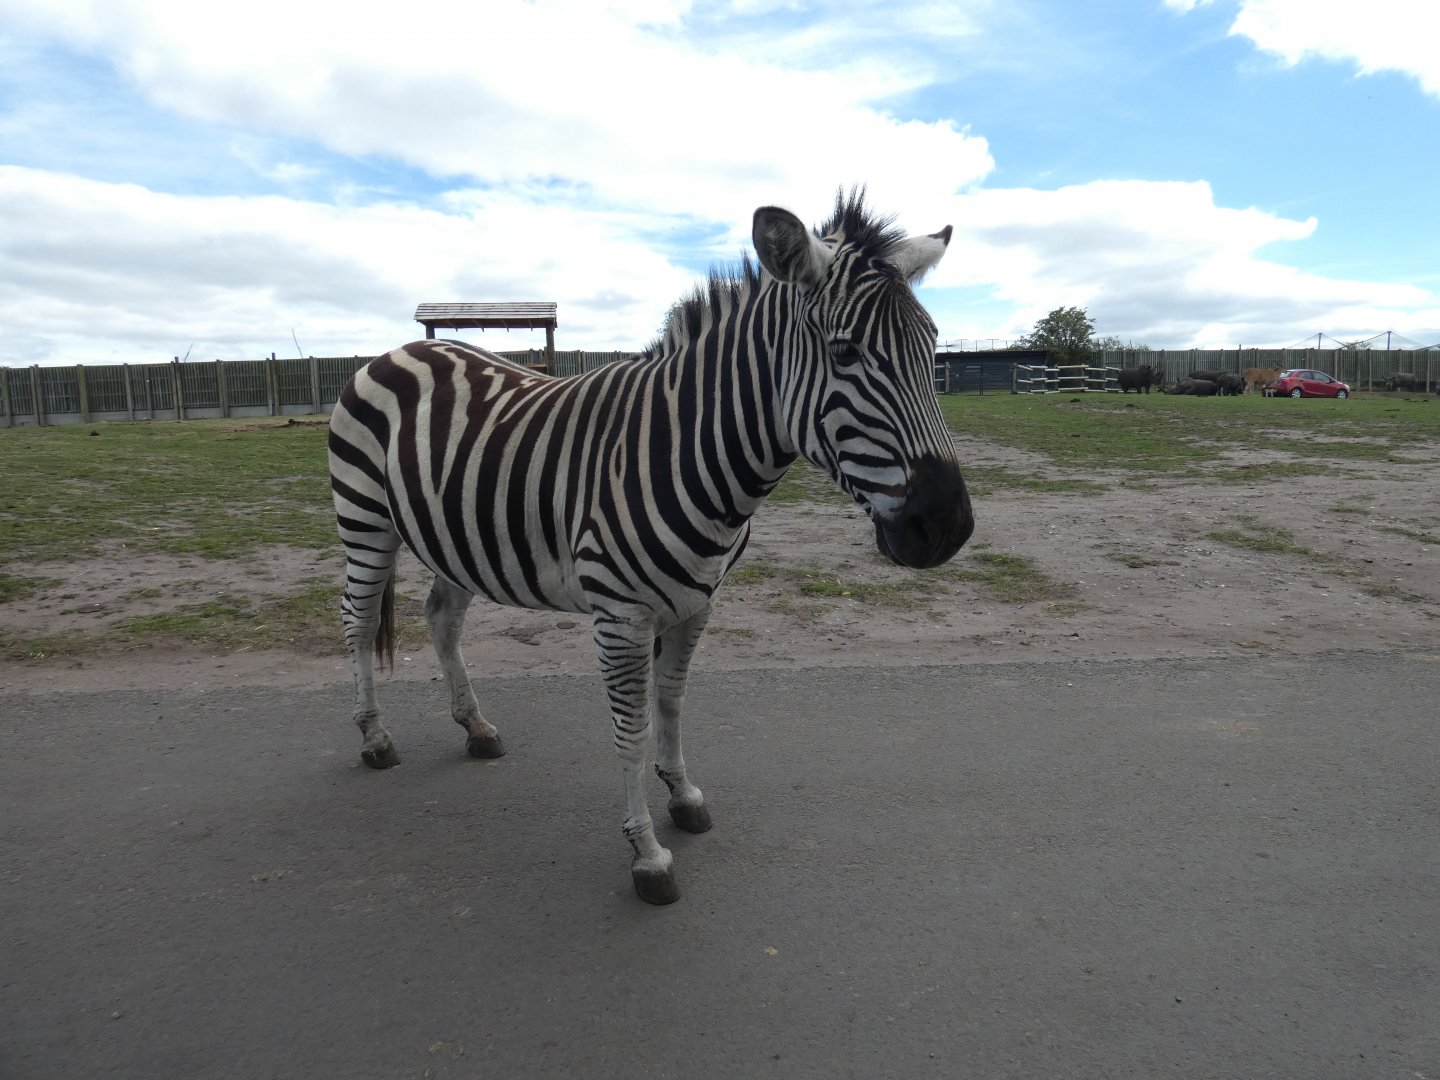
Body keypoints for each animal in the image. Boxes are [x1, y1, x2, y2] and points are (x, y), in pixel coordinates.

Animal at [327, 191, 975, 904]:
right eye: (845, 352)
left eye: (932, 349)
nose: (948, 526)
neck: (691, 453)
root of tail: (402, 348)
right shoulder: (621, 617)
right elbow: (631, 729)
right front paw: (647, 854)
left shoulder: (697, 602)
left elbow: (672, 701)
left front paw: (683, 795)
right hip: (365, 519)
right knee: (358, 622)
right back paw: (376, 739)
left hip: (458, 537)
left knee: (441, 619)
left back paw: (476, 728)